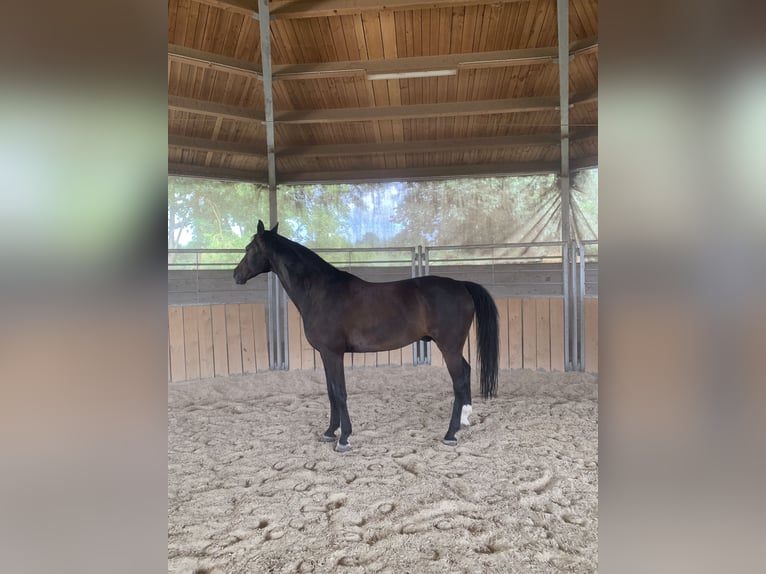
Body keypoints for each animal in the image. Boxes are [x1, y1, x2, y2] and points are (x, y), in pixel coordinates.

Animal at [232, 223, 498, 452]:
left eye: (249, 248)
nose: (236, 274)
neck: (321, 292)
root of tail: (461, 285)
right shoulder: (326, 355)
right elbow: (331, 392)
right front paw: (329, 432)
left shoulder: (333, 354)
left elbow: (340, 393)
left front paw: (344, 438)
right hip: (454, 348)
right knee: (466, 372)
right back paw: (464, 419)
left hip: (449, 348)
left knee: (459, 381)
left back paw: (450, 434)